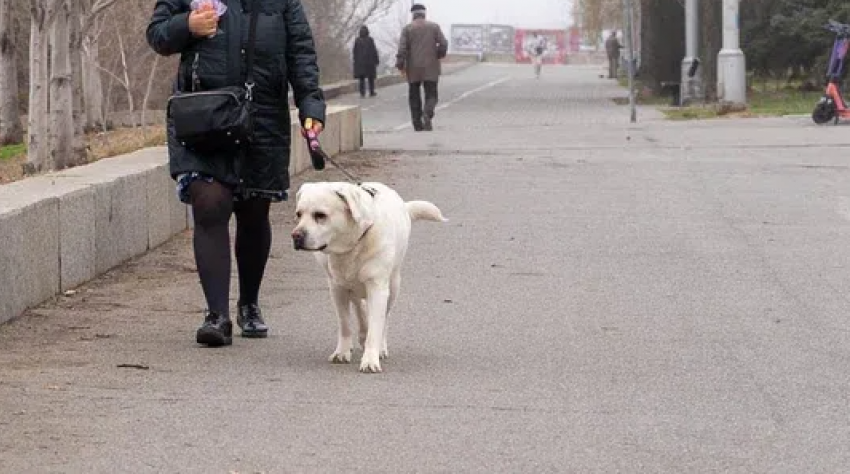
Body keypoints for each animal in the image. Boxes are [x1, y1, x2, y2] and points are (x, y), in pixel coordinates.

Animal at [292, 183, 448, 372]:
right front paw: (342, 352)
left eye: (320, 215)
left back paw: (380, 347)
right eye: (299, 214)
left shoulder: (377, 288)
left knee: (384, 317)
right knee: (359, 306)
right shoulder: (337, 288)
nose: (296, 236)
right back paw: (361, 333)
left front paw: (370, 359)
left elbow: (376, 327)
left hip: (393, 286)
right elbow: (345, 324)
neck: (353, 244)